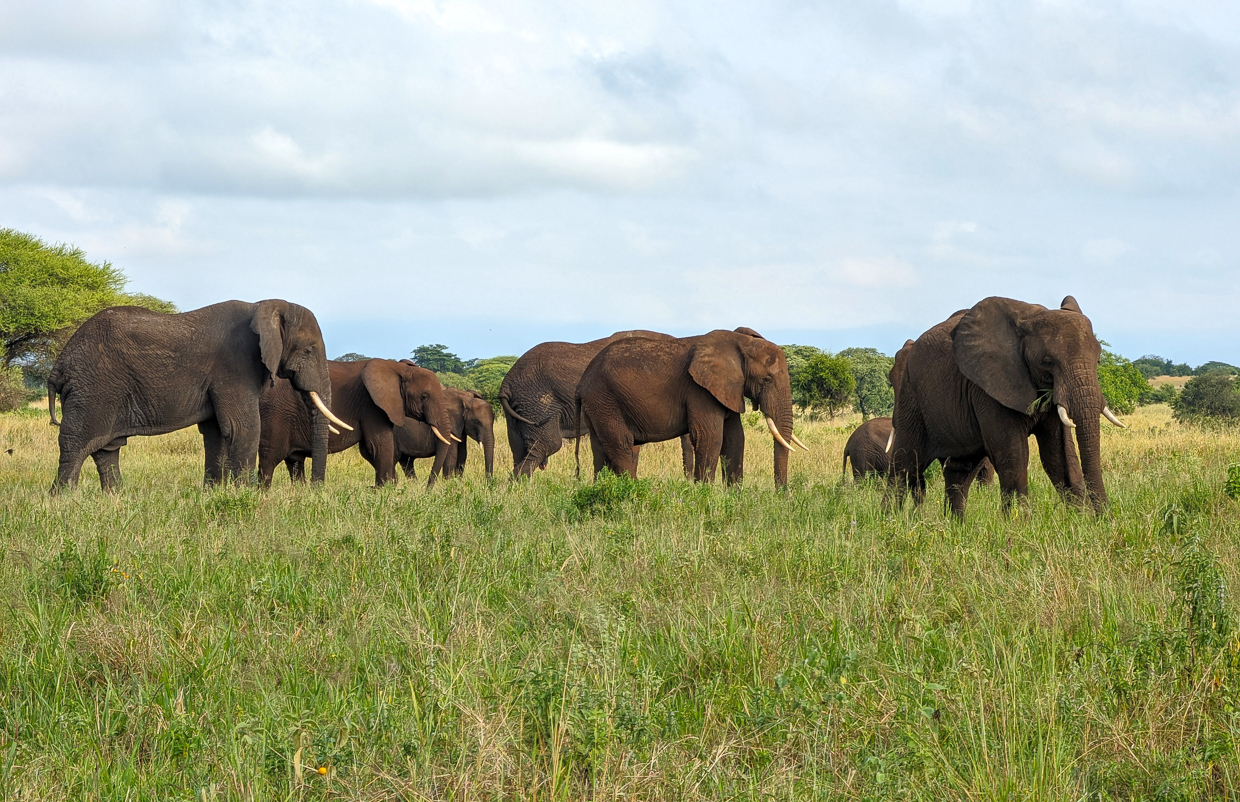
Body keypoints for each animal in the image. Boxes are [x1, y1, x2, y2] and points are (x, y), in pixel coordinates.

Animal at [47, 300, 346, 493]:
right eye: (308, 351)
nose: (314, 491)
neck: (263, 307)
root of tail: (58, 367)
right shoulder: (235, 366)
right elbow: (242, 428)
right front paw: (244, 496)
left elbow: (217, 433)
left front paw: (214, 494)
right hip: (94, 388)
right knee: (76, 444)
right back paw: (63, 500)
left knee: (106, 449)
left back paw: (116, 497)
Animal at [258, 358, 455, 488]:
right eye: (424, 397)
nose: (427, 489)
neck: (397, 368)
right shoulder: (371, 405)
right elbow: (379, 445)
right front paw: (385, 490)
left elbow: (369, 450)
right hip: (276, 415)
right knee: (270, 459)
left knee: (295, 463)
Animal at [498, 330, 692, 478]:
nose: (690, 484)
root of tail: (506, 382)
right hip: (538, 403)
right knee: (547, 445)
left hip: (520, 409)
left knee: (519, 450)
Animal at [575, 327, 806, 487]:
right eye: (767, 380)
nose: (782, 495)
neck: (741, 343)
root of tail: (583, 380)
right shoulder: (700, 390)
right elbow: (710, 437)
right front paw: (704, 495)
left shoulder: (727, 389)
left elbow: (735, 438)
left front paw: (734, 497)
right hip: (605, 399)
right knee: (621, 444)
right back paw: (633, 492)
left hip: (598, 405)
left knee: (600, 450)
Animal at [887, 296, 1125, 519]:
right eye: (1047, 362)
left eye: (1098, 359)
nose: (1106, 517)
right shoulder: (988, 387)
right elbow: (1014, 456)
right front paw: (1019, 525)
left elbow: (1058, 456)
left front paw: (1080, 521)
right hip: (912, 396)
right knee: (904, 463)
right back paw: (889, 520)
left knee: (959, 470)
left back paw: (956, 526)